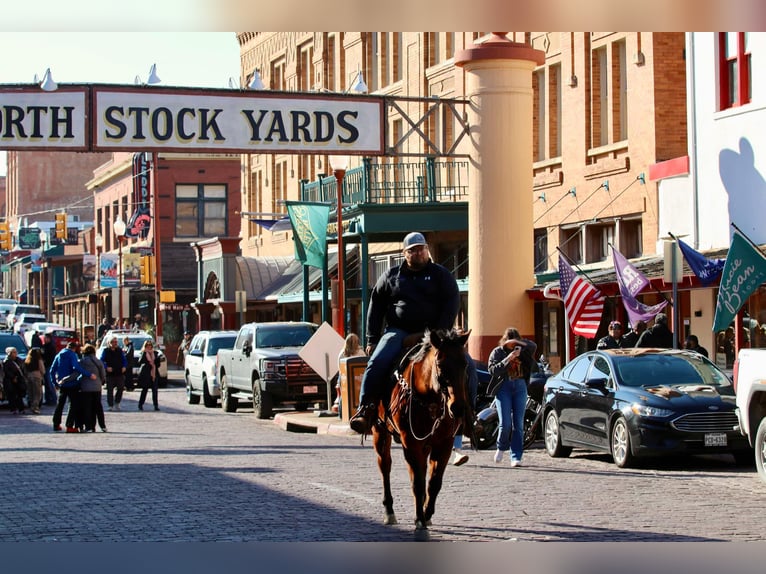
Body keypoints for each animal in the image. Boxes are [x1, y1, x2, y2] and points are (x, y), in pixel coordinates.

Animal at [372, 330, 474, 532]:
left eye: (465, 364)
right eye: (441, 364)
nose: (458, 408)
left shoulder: (444, 443)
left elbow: (434, 483)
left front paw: (426, 514)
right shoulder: (410, 442)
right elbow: (417, 482)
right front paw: (419, 518)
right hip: (380, 432)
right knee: (385, 467)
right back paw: (389, 511)